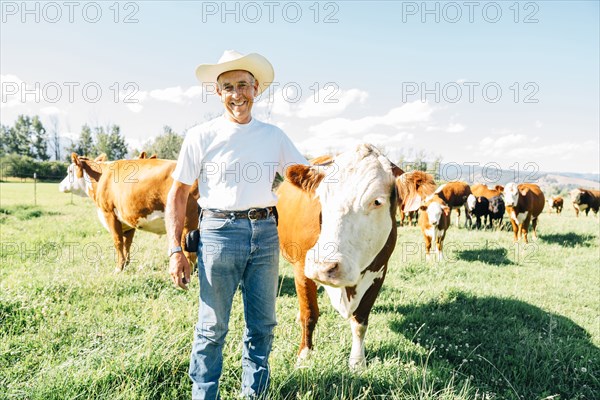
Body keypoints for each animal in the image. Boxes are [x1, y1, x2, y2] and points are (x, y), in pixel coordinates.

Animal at [59, 153, 199, 272]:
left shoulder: (109, 214)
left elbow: (118, 242)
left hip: (188, 222)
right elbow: (127, 244)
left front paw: (118, 268)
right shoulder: (128, 220)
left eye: (69, 171)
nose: (60, 186)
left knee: (189, 251)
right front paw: (125, 265)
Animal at [276, 143, 404, 368]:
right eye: (321, 197)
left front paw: (357, 363)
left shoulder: (379, 272)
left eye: (377, 201)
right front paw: (304, 356)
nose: (323, 266)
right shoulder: (302, 268)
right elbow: (309, 314)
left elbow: (360, 322)